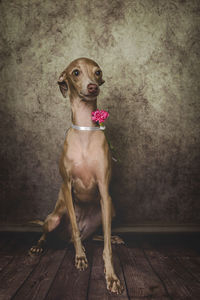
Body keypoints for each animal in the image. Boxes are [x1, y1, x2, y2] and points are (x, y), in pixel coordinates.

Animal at [29, 57, 123, 294]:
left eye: (98, 72)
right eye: (76, 72)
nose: (93, 87)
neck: (84, 130)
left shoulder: (104, 190)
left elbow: (105, 246)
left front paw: (111, 276)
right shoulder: (67, 186)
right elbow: (73, 225)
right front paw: (80, 257)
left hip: (110, 208)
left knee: (98, 235)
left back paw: (112, 238)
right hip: (54, 218)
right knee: (49, 232)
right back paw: (38, 246)